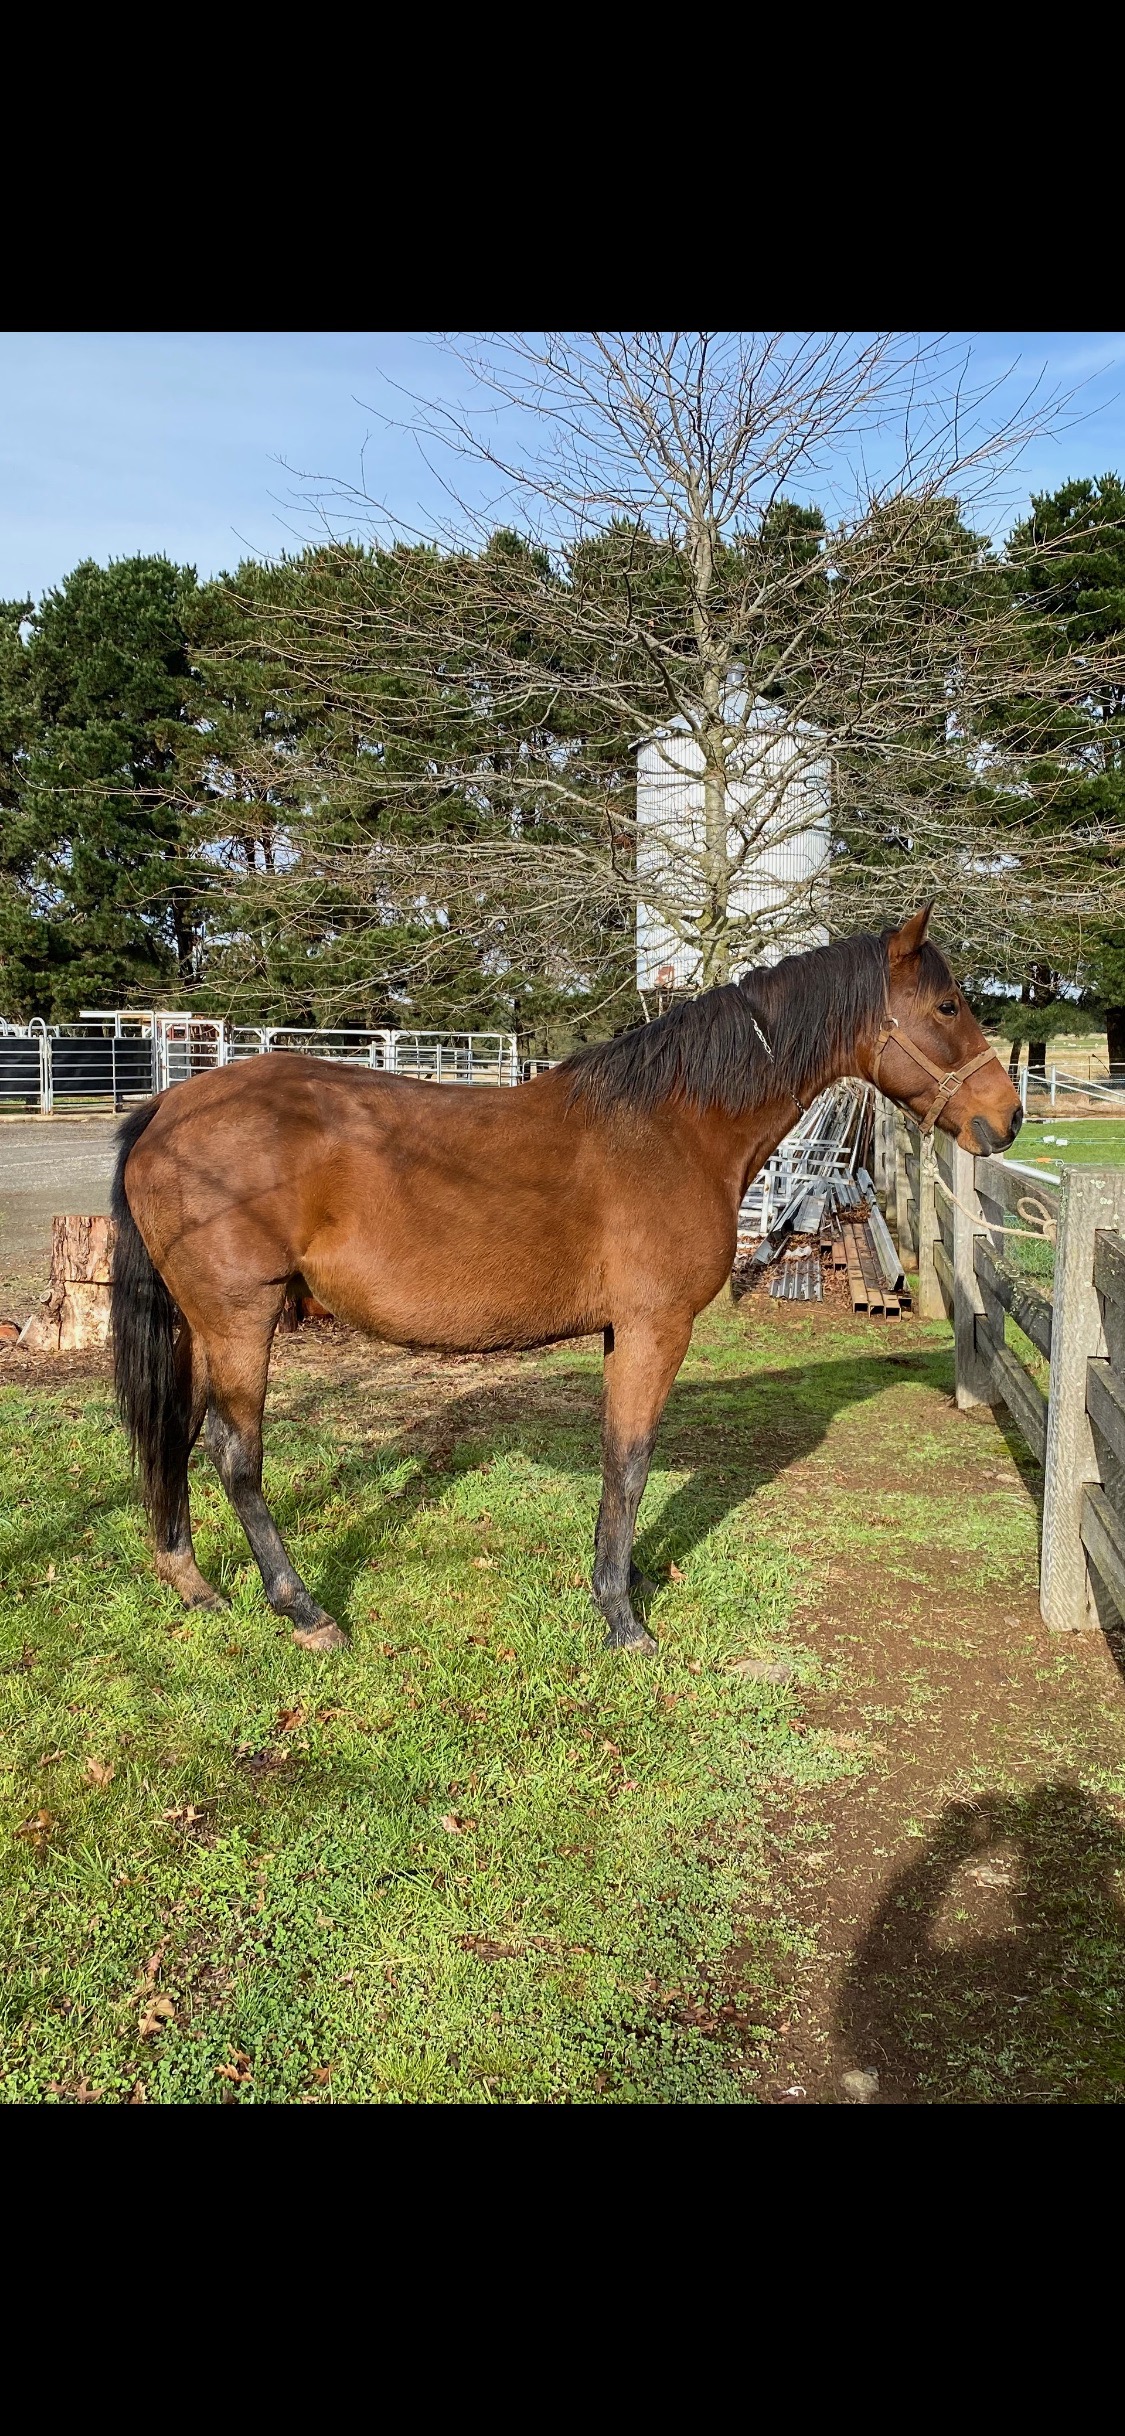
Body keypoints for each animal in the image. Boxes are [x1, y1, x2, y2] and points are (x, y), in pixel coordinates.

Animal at [110, 908, 1022, 1656]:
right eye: (947, 1008)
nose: (1006, 1118)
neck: (675, 1127)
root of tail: (165, 1111)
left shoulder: (625, 1331)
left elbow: (621, 1456)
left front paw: (619, 1587)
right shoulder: (655, 1327)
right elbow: (631, 1459)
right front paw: (621, 1617)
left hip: (203, 1327)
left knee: (176, 1437)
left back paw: (192, 1584)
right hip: (241, 1318)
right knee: (237, 1455)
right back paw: (302, 1609)